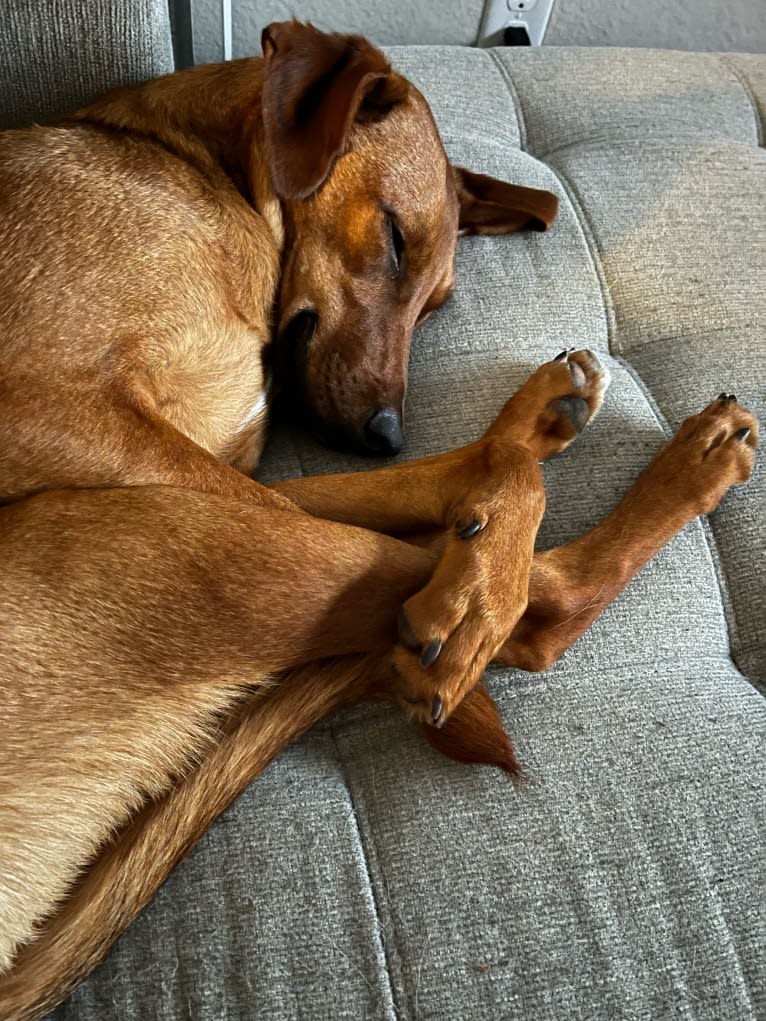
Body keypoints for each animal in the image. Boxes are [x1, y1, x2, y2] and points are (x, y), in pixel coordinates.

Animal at [0, 17, 759, 1021]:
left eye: (436, 302)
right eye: (395, 238)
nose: (386, 431)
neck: (190, 164)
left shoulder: (205, 454)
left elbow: (452, 481)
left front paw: (520, 451)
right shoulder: (58, 409)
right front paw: (476, 588)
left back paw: (601, 438)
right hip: (169, 539)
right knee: (539, 610)